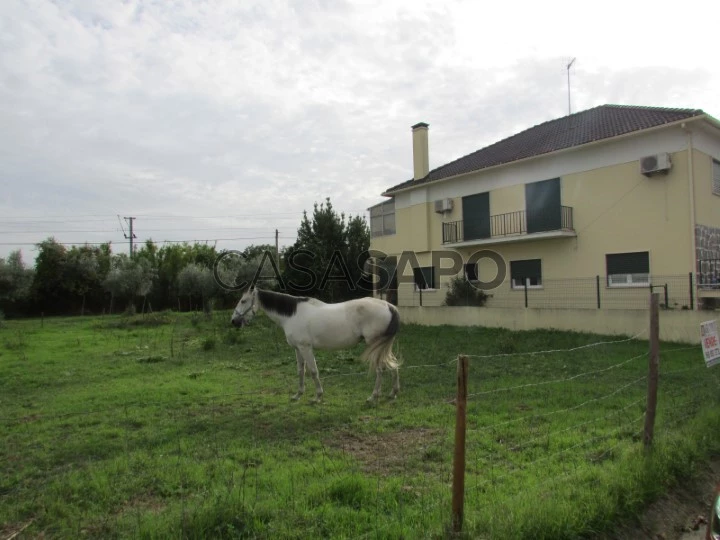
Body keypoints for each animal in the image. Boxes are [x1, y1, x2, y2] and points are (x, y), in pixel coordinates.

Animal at [231, 288, 400, 402]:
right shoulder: (297, 349)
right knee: (393, 364)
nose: (234, 321)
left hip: (374, 346)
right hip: (383, 347)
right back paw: (393, 393)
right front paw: (298, 394)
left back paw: (373, 396)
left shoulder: (306, 348)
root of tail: (388, 306)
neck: (292, 315)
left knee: (380, 369)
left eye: (243, 301)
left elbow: (313, 371)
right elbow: (300, 371)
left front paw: (317, 396)